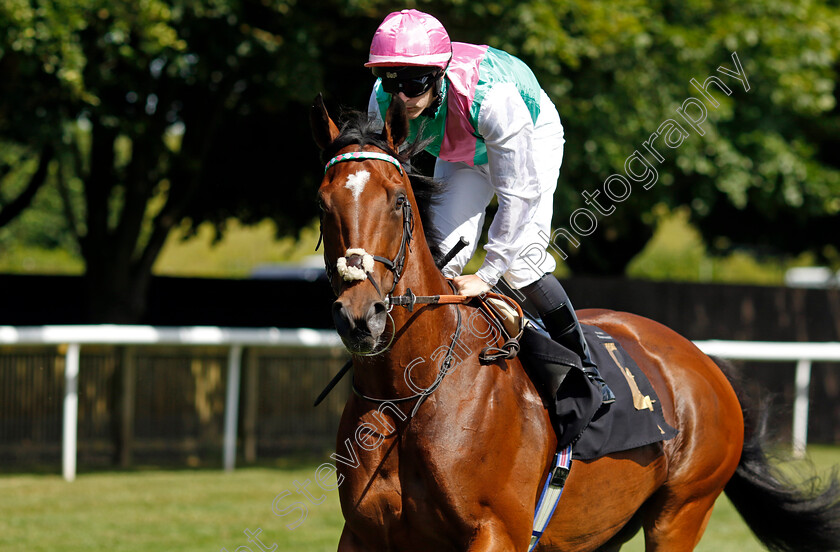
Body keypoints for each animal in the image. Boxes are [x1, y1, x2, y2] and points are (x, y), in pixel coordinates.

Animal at [308, 92, 840, 548]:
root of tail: (703, 360)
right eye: (322, 203)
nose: (361, 317)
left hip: (683, 511)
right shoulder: (361, 535)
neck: (409, 393)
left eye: (398, 199)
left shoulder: (497, 531)